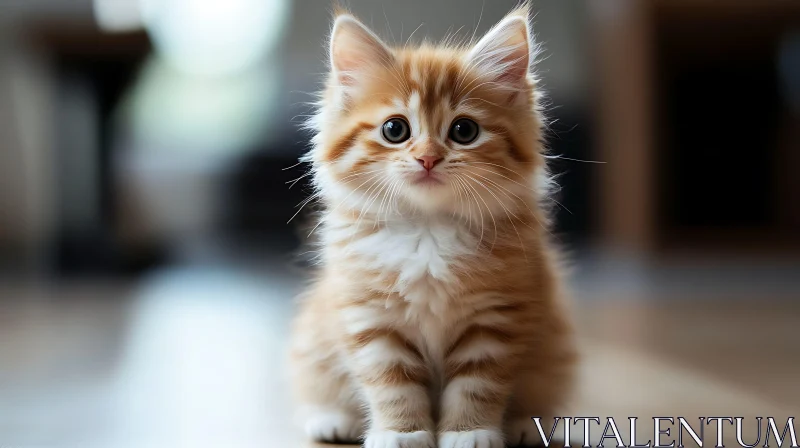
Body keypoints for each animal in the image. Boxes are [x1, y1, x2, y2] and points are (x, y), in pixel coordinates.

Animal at [290, 4, 580, 448]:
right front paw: (401, 432)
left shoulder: (497, 318)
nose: (428, 158)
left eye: (464, 130)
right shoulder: (370, 317)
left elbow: (477, 384)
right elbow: (392, 383)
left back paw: (525, 426)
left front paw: (470, 431)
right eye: (395, 129)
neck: (427, 232)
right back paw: (333, 419)